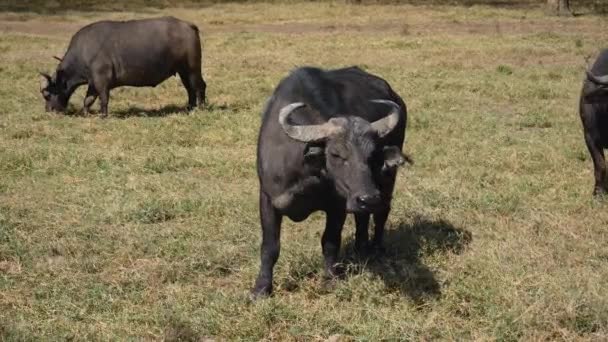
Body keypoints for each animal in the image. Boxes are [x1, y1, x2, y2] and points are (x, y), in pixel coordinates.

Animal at [40, 16, 208, 116]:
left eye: (47, 94)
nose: (49, 111)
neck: (83, 52)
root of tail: (188, 25)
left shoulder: (101, 81)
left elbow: (103, 98)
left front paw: (103, 115)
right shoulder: (93, 82)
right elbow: (88, 100)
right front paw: (86, 113)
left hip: (193, 68)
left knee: (199, 86)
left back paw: (200, 108)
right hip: (183, 71)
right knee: (190, 89)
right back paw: (190, 108)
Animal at [252, 66, 408, 296]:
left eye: (372, 155)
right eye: (336, 154)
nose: (368, 198)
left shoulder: (338, 205)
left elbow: (330, 241)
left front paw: (331, 278)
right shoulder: (268, 199)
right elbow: (270, 246)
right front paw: (261, 288)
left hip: (385, 182)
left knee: (381, 212)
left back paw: (377, 249)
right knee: (363, 216)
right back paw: (361, 248)